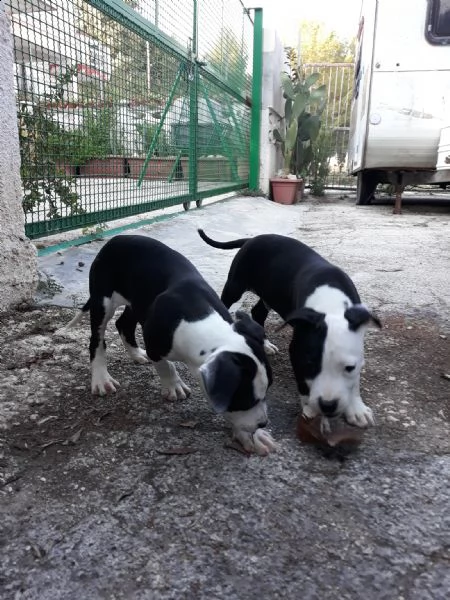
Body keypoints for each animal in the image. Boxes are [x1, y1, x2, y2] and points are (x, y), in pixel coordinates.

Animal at [199, 229, 382, 426]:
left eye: (349, 367)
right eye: (310, 366)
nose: (327, 405)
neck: (331, 306)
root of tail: (253, 238)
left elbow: (354, 381)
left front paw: (356, 408)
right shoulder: (297, 350)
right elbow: (303, 383)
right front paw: (310, 409)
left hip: (269, 293)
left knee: (257, 312)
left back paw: (265, 344)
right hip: (235, 284)